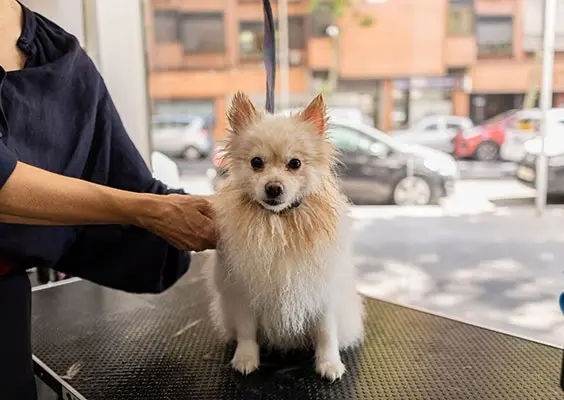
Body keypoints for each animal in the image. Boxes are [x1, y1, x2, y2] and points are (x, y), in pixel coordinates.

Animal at [205, 92, 364, 381]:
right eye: (256, 163)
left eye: (295, 164)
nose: (273, 187)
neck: (278, 223)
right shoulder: (243, 292)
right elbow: (247, 332)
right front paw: (246, 358)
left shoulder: (321, 292)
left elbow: (326, 333)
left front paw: (329, 363)